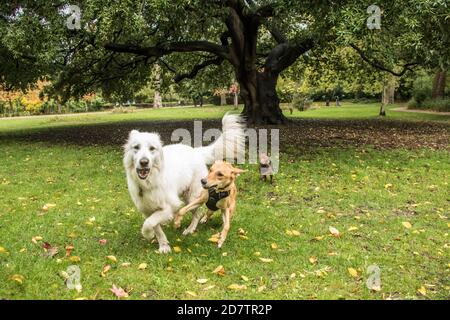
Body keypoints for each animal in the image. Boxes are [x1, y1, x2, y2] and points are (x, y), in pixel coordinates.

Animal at [123, 114, 244, 252]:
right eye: (136, 147)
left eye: (152, 148)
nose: (144, 162)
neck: (150, 181)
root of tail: (195, 151)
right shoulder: (147, 209)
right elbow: (155, 226)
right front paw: (163, 245)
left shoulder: (171, 205)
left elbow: (149, 223)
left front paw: (148, 235)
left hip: (192, 197)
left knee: (197, 214)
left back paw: (190, 229)